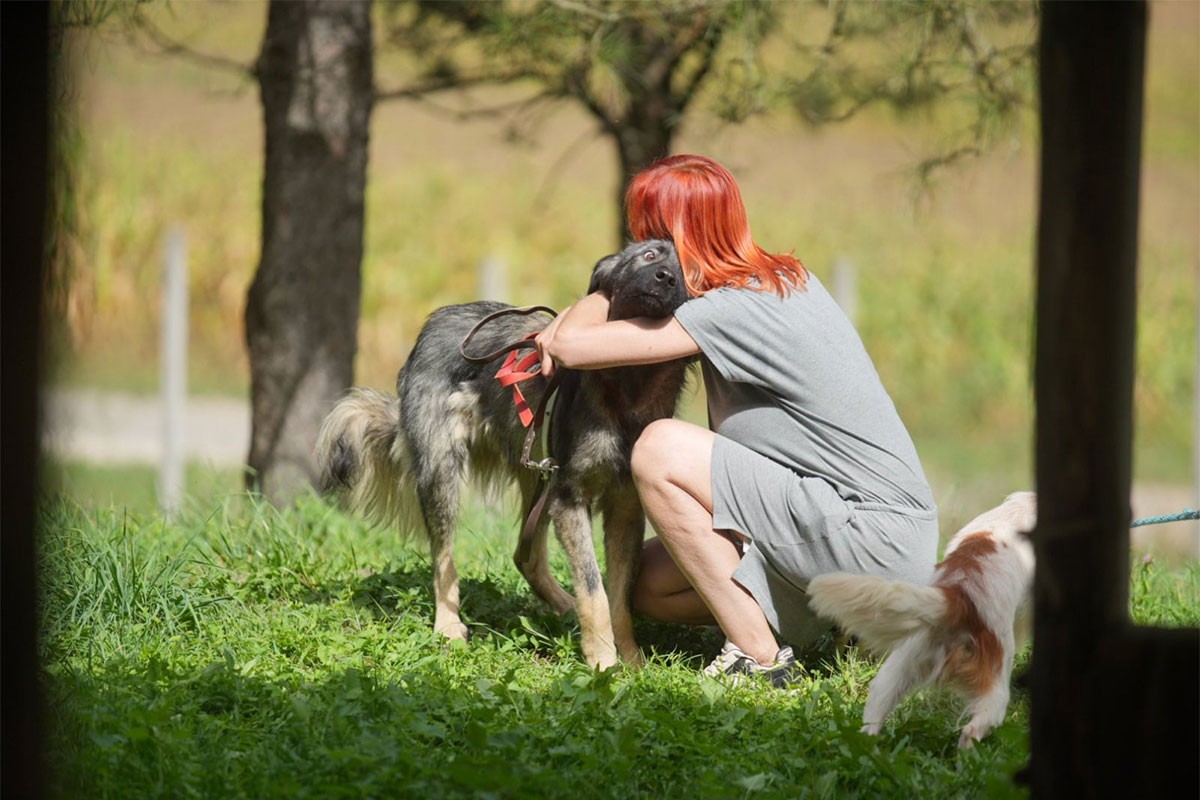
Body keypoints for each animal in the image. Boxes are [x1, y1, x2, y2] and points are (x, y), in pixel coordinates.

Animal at [314, 239, 691, 671]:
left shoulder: (625, 507)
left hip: (537, 475)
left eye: (688, 270)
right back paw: (448, 627)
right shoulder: (570, 498)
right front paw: (604, 662)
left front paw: (629, 658)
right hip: (445, 473)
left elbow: (619, 595)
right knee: (443, 560)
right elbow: (595, 590)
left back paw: (562, 607)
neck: (630, 381)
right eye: (650, 255)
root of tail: (436, 321)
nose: (666, 278)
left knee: (524, 556)